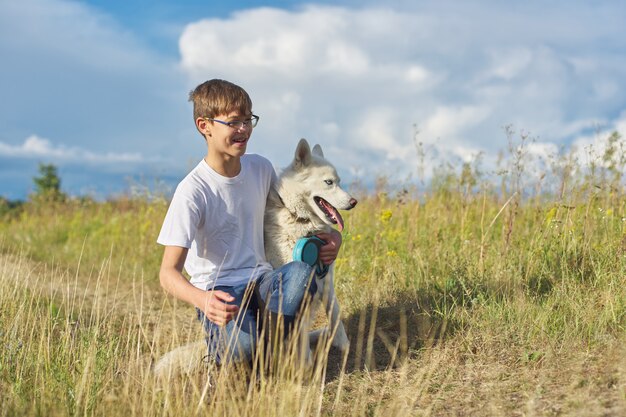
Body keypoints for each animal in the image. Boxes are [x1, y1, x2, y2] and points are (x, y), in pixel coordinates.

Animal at [264, 138, 356, 360]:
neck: (301, 221)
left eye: (339, 181)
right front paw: (306, 362)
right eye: (329, 182)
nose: (354, 202)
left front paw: (344, 346)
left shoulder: (326, 282)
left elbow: (335, 315)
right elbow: (301, 335)